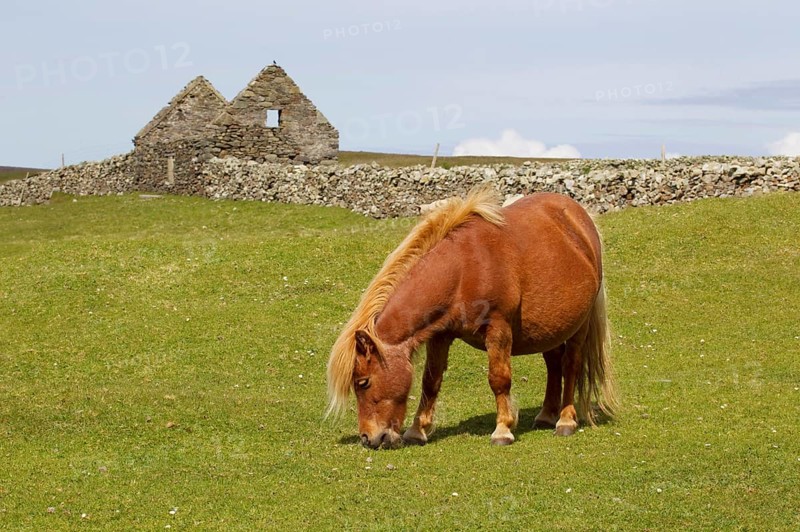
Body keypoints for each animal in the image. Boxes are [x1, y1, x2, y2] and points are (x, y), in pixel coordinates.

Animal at [327, 187, 617, 448]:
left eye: (363, 382)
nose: (368, 439)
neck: (463, 271)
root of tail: (580, 219)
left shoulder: (498, 329)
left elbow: (499, 379)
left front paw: (503, 430)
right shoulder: (440, 335)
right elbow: (430, 381)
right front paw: (417, 430)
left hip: (579, 327)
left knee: (571, 365)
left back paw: (565, 420)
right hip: (550, 329)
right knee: (554, 364)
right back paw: (546, 415)